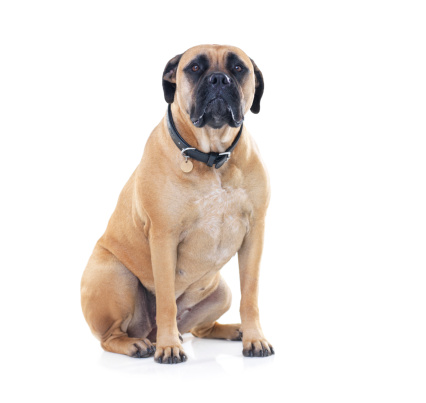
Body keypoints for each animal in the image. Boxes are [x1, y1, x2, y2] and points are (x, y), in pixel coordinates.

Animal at [80, 45, 272, 366]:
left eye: (238, 68)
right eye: (194, 68)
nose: (219, 79)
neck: (212, 159)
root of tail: (148, 331)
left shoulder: (254, 235)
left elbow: (251, 296)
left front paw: (254, 338)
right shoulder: (164, 237)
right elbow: (167, 301)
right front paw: (168, 347)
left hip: (221, 291)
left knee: (202, 328)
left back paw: (233, 329)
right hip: (115, 276)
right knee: (111, 337)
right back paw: (140, 344)